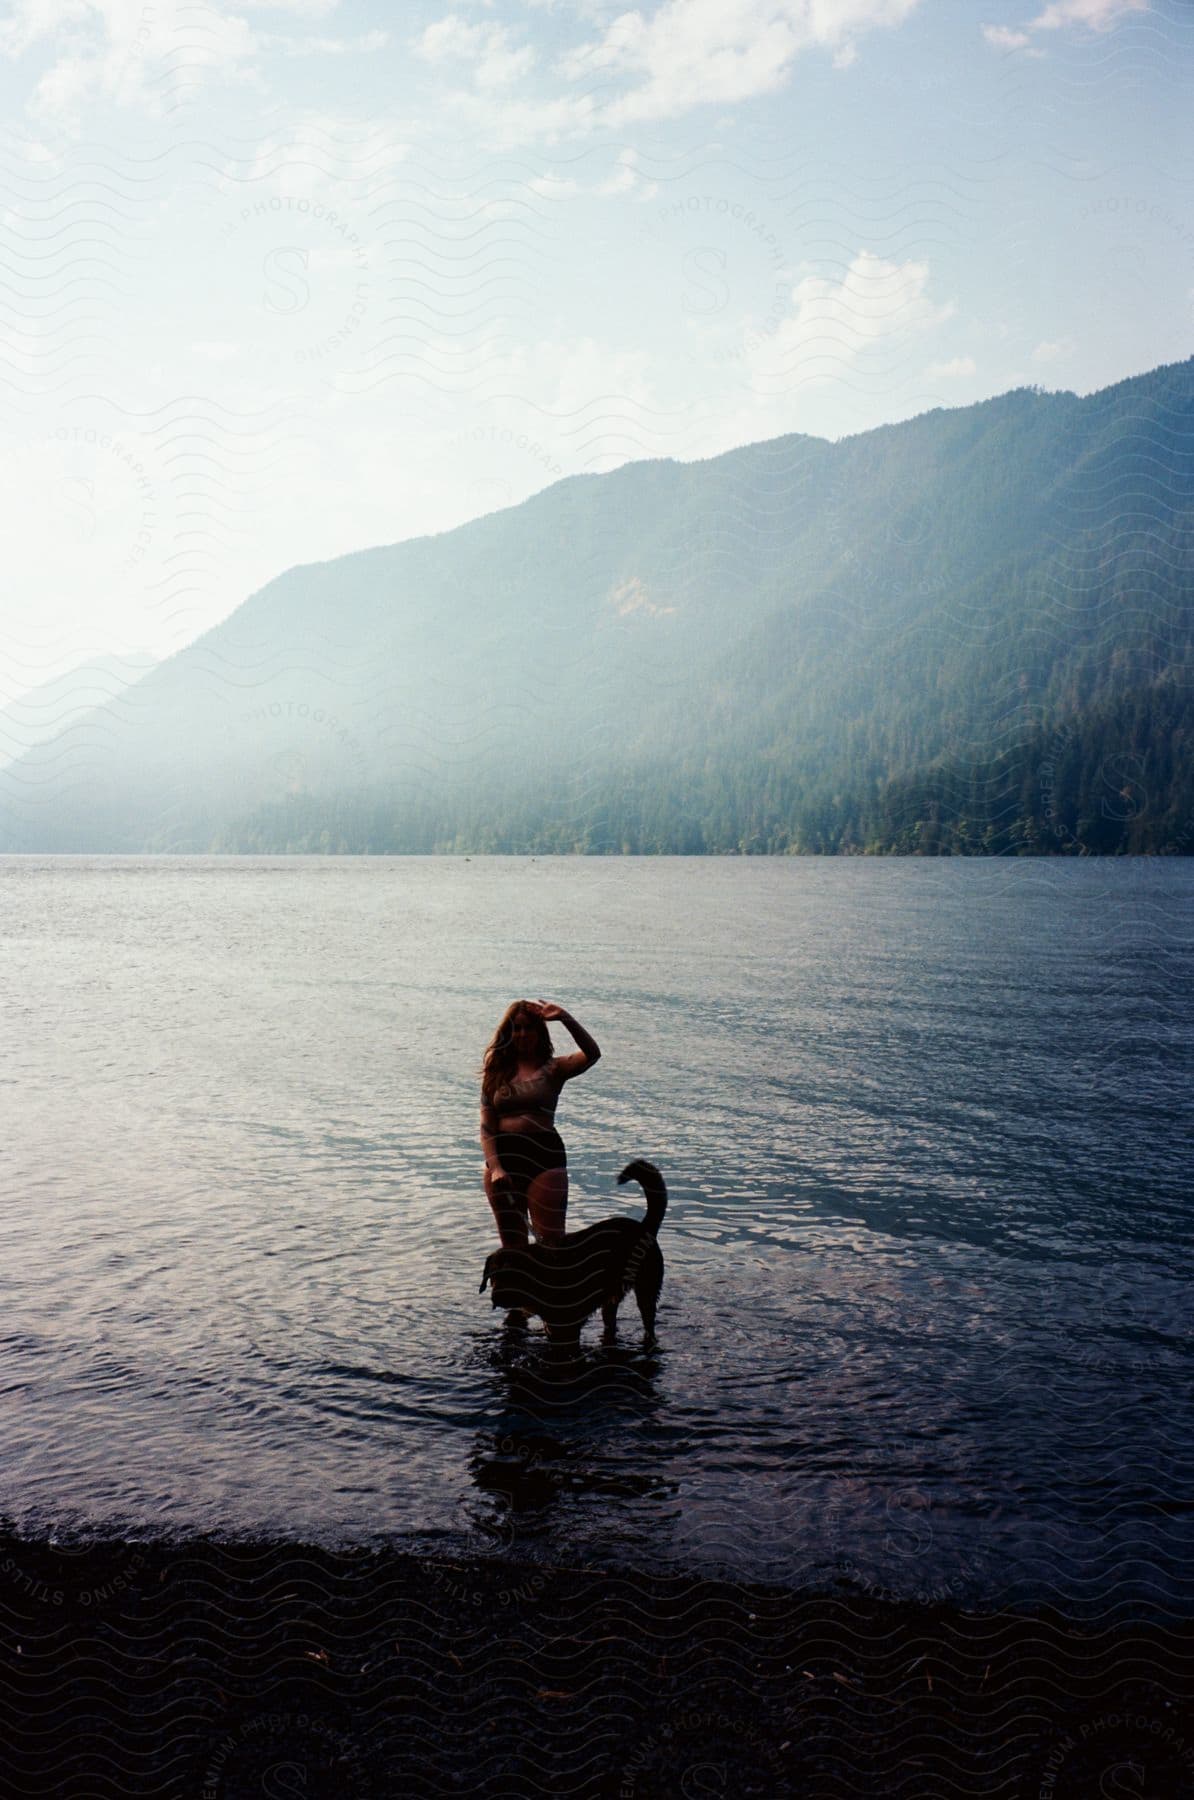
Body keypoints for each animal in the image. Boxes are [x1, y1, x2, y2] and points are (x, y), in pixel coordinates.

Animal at [482, 1159, 666, 1346]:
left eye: (511, 1275)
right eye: (492, 1276)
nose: (495, 1298)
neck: (541, 1272)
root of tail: (644, 1227)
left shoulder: (566, 1328)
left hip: (646, 1291)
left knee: (648, 1323)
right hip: (611, 1298)